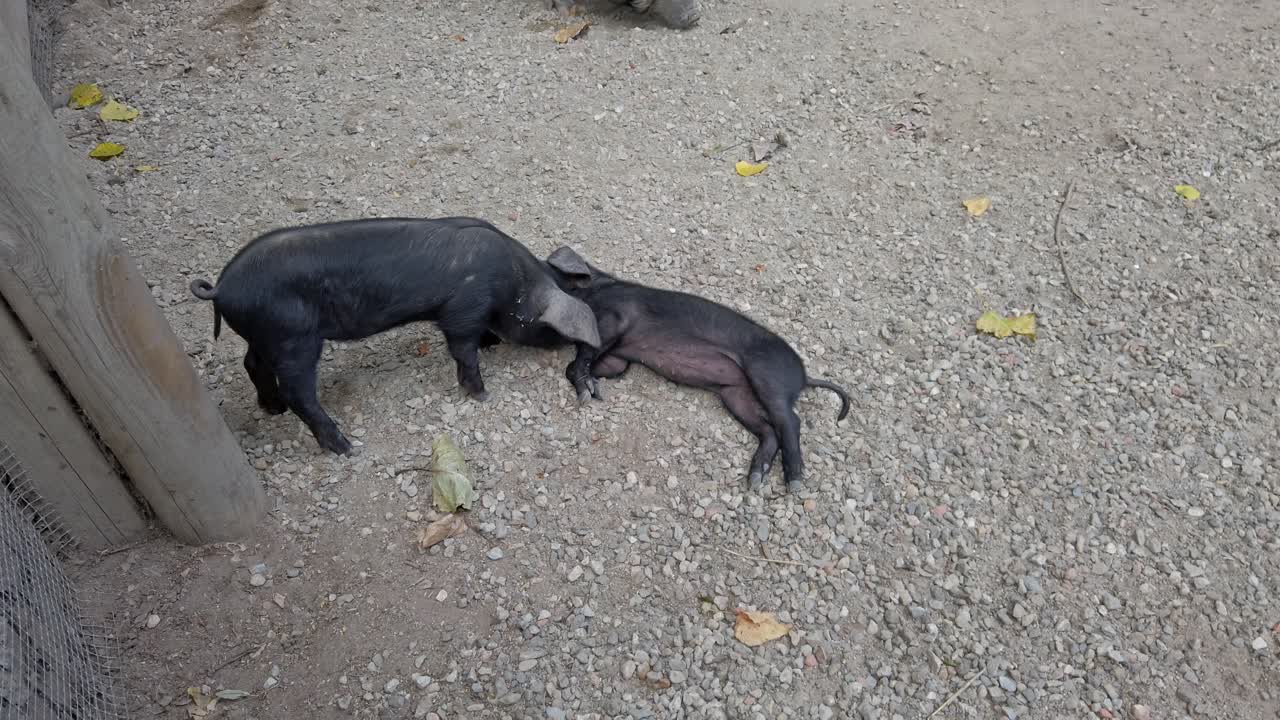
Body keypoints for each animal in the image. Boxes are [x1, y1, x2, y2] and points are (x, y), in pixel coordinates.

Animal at [188, 217, 601, 455]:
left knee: (252, 364)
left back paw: (271, 409)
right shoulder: (463, 309)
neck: (513, 284)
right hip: (293, 337)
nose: (570, 346)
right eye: (547, 328)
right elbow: (463, 350)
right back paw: (347, 448)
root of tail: (222, 288)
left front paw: (493, 343)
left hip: (265, 336)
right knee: (299, 393)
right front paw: (483, 394)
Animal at [544, 246, 850, 492]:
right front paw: (594, 388)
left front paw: (586, 392)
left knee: (790, 422)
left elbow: (582, 356)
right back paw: (755, 479)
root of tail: (805, 377)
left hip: (768, 376)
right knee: (768, 430)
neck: (596, 290)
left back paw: (794, 482)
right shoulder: (617, 358)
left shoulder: (614, 317)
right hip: (736, 394)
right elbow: (598, 364)